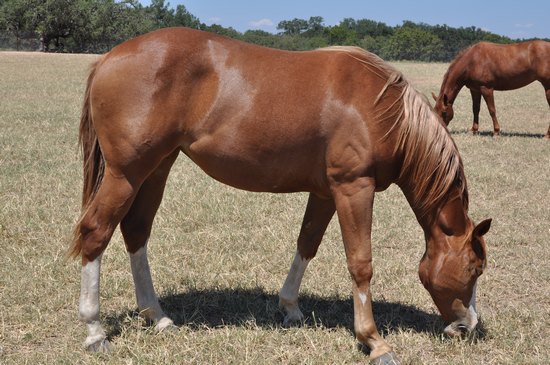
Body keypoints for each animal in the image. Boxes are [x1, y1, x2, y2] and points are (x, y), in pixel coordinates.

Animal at [70, 26, 496, 364]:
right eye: (474, 269)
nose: (469, 327)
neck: (382, 110)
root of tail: (108, 58)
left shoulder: (325, 192)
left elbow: (306, 244)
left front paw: (290, 307)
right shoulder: (353, 188)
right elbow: (360, 263)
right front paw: (373, 341)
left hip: (156, 167)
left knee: (136, 231)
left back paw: (157, 316)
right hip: (126, 174)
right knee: (95, 233)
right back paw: (94, 331)